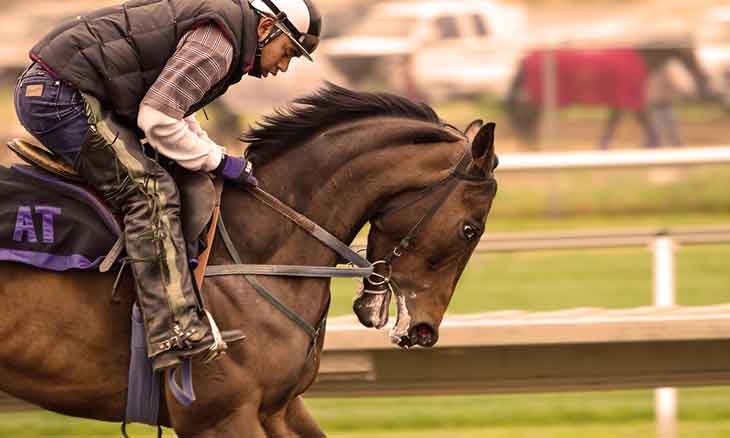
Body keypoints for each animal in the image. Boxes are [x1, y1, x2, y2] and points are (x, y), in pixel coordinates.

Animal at [504, 45, 712, 149]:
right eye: (691, 54)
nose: (702, 78)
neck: (641, 59)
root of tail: (526, 58)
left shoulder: (620, 102)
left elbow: (613, 123)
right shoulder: (631, 100)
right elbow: (644, 122)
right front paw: (652, 145)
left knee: (527, 117)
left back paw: (531, 143)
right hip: (537, 98)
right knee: (525, 116)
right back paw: (530, 143)